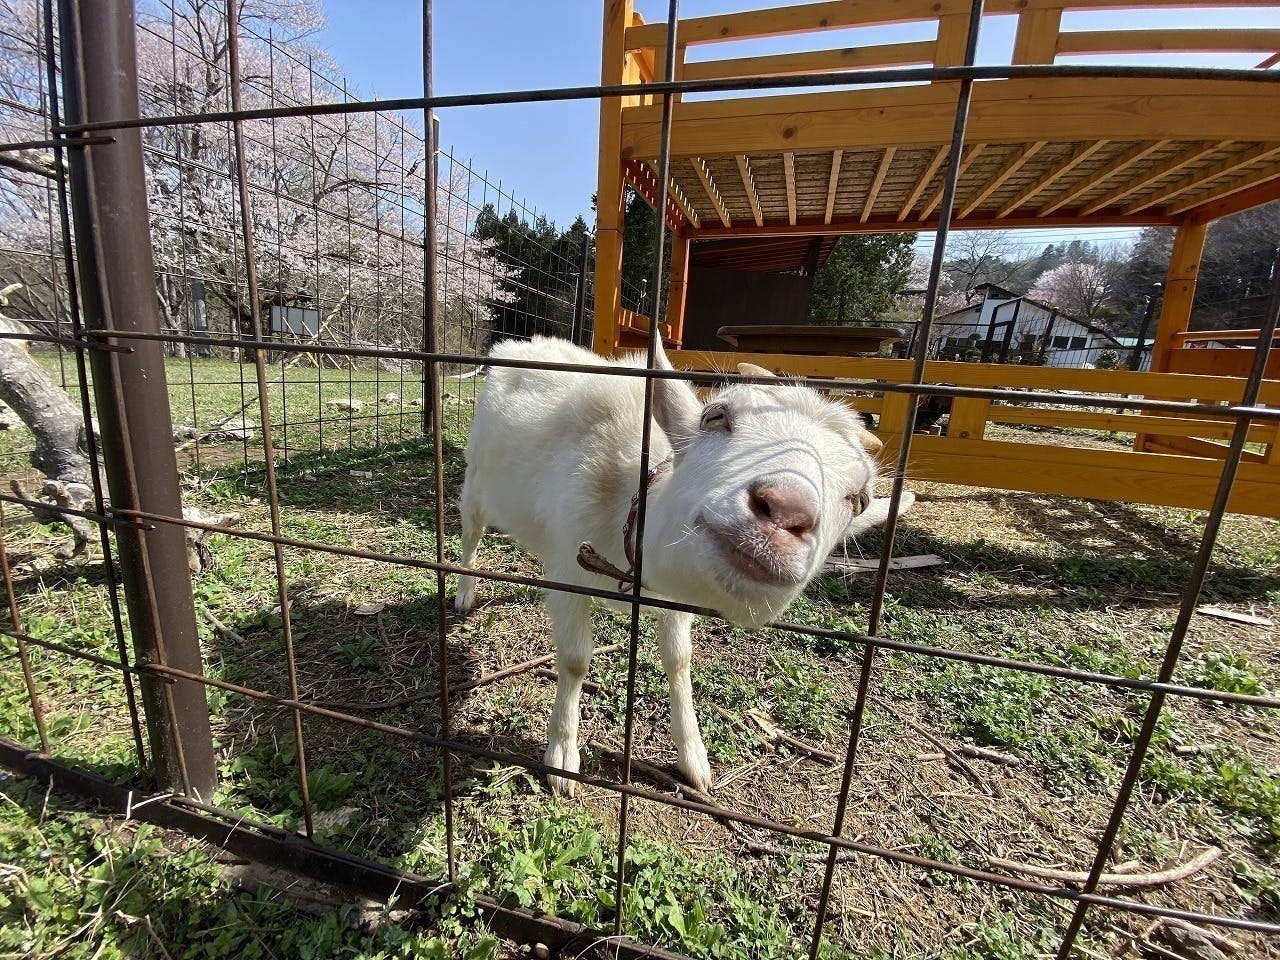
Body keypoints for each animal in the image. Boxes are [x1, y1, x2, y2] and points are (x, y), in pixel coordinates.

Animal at [455, 337, 906, 798]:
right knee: (471, 528)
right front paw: (563, 755)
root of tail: (522, 343)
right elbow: (576, 659)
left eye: (860, 500)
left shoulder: (673, 596)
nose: (785, 510)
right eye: (715, 416)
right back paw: (464, 593)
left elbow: (679, 659)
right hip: (477, 478)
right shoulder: (569, 565)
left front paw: (694, 757)